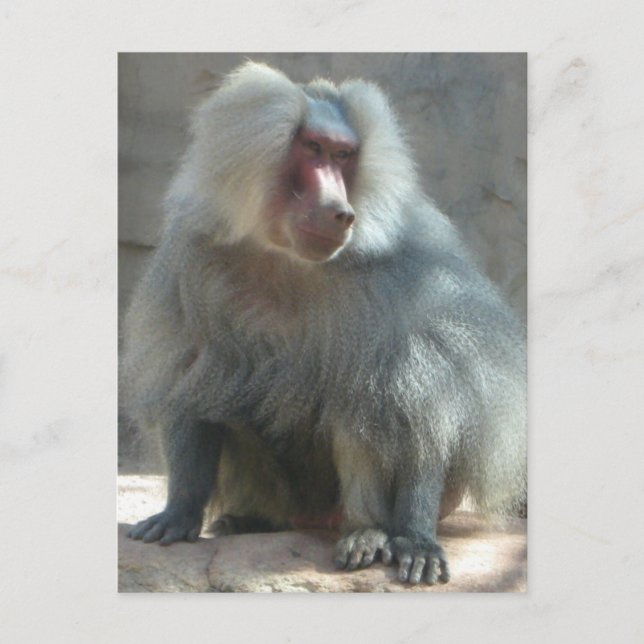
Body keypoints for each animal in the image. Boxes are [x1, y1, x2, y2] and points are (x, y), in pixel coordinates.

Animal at [122, 61, 527, 586]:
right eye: (312, 148)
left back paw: (367, 534)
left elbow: (426, 403)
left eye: (344, 155)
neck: (287, 260)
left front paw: (415, 539)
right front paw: (179, 511)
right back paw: (251, 521)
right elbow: (190, 380)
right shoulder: (190, 258)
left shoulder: (416, 271)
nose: (341, 213)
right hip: (282, 497)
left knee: (362, 396)